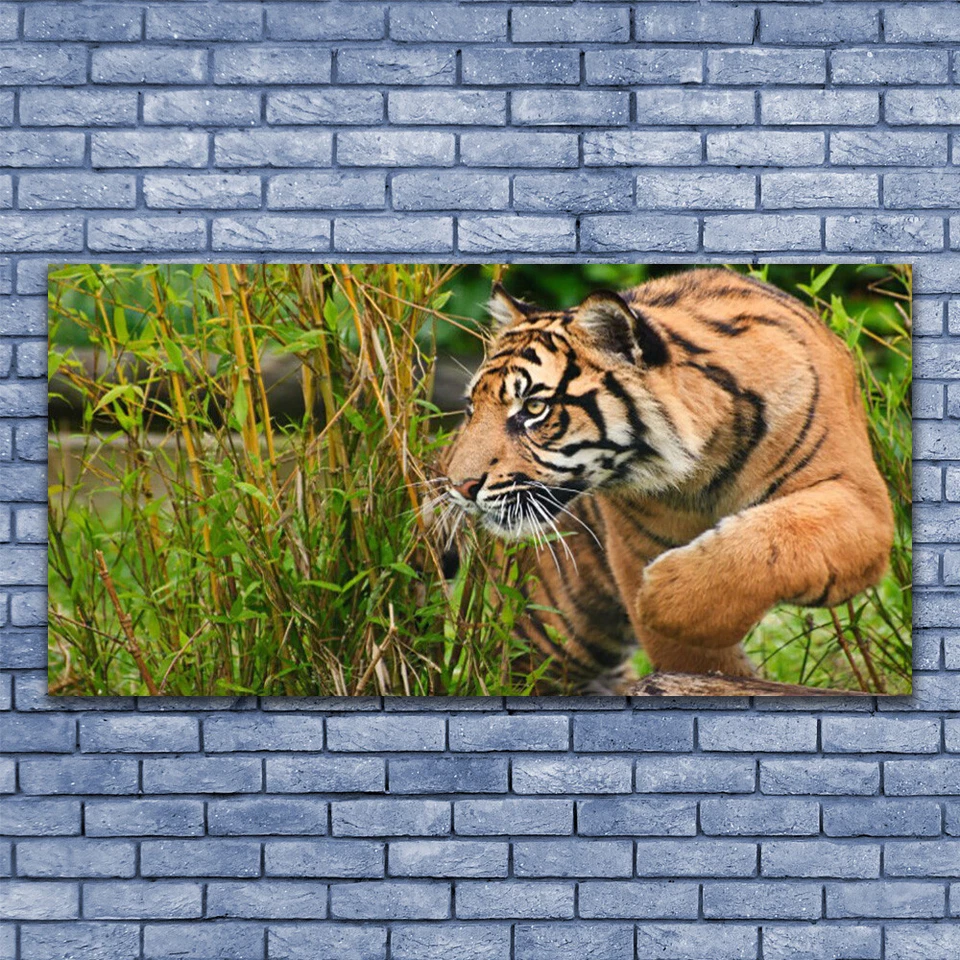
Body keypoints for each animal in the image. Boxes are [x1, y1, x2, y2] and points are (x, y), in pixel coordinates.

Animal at [439, 268, 895, 694]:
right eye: (471, 407)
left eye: (534, 408)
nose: (459, 486)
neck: (704, 464)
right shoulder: (635, 548)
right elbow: (694, 659)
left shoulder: (859, 499)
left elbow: (773, 540)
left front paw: (660, 597)